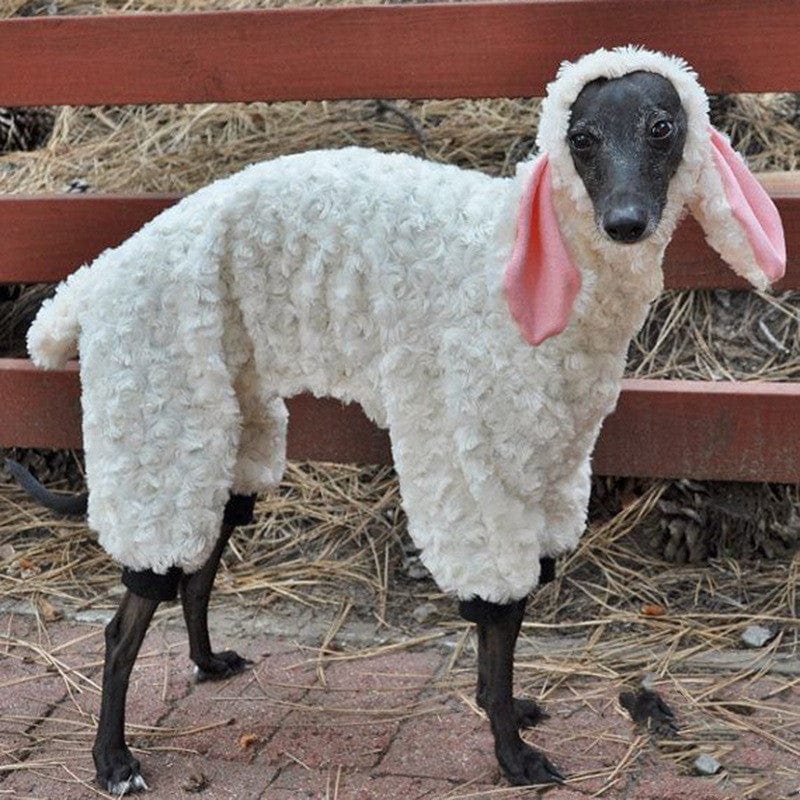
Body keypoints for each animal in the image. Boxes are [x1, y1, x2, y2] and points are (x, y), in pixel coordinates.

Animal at [21, 46, 785, 792]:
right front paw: (512, 755)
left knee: (198, 569)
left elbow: (508, 624)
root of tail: (94, 280)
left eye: (662, 127)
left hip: (225, 433)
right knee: (126, 625)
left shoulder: (547, 472)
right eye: (582, 139)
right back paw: (112, 759)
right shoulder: (476, 471)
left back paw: (207, 664)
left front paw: (508, 710)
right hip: (161, 421)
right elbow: (497, 618)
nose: (625, 223)